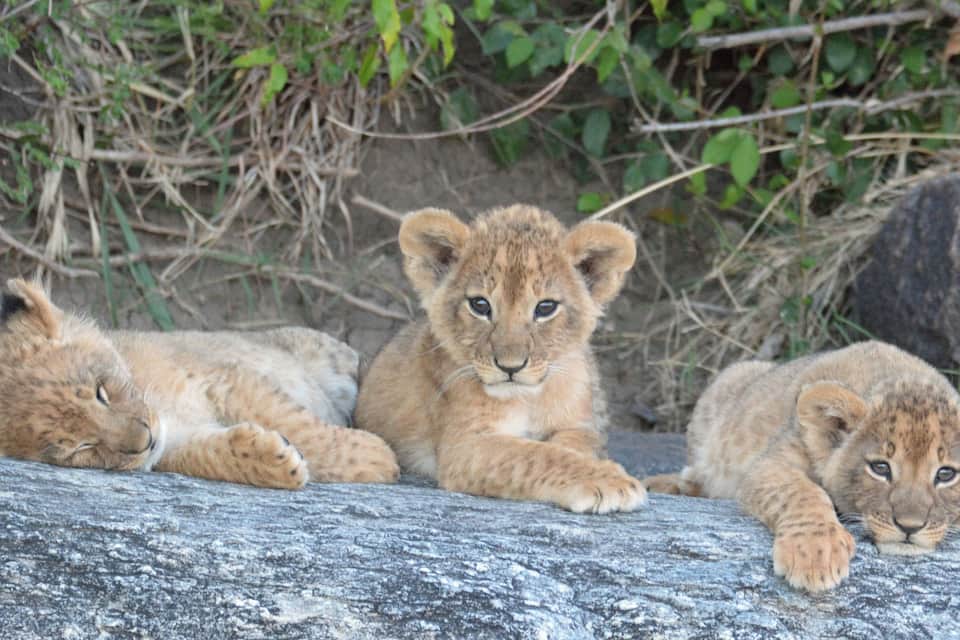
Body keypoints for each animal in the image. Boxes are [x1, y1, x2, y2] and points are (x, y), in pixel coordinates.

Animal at [0, 278, 399, 489]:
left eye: (102, 392)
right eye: (82, 448)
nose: (145, 441)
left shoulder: (224, 377)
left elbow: (301, 426)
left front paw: (375, 457)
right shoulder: (168, 446)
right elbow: (203, 455)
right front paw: (273, 459)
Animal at [354, 204, 646, 513]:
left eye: (546, 307)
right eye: (480, 305)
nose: (510, 367)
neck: (530, 399)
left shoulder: (579, 427)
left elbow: (569, 447)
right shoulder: (464, 447)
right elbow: (538, 455)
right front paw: (609, 481)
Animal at [644, 340, 960, 591]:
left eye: (946, 473)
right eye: (880, 468)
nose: (910, 526)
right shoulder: (772, 462)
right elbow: (802, 492)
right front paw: (814, 553)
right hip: (726, 383)